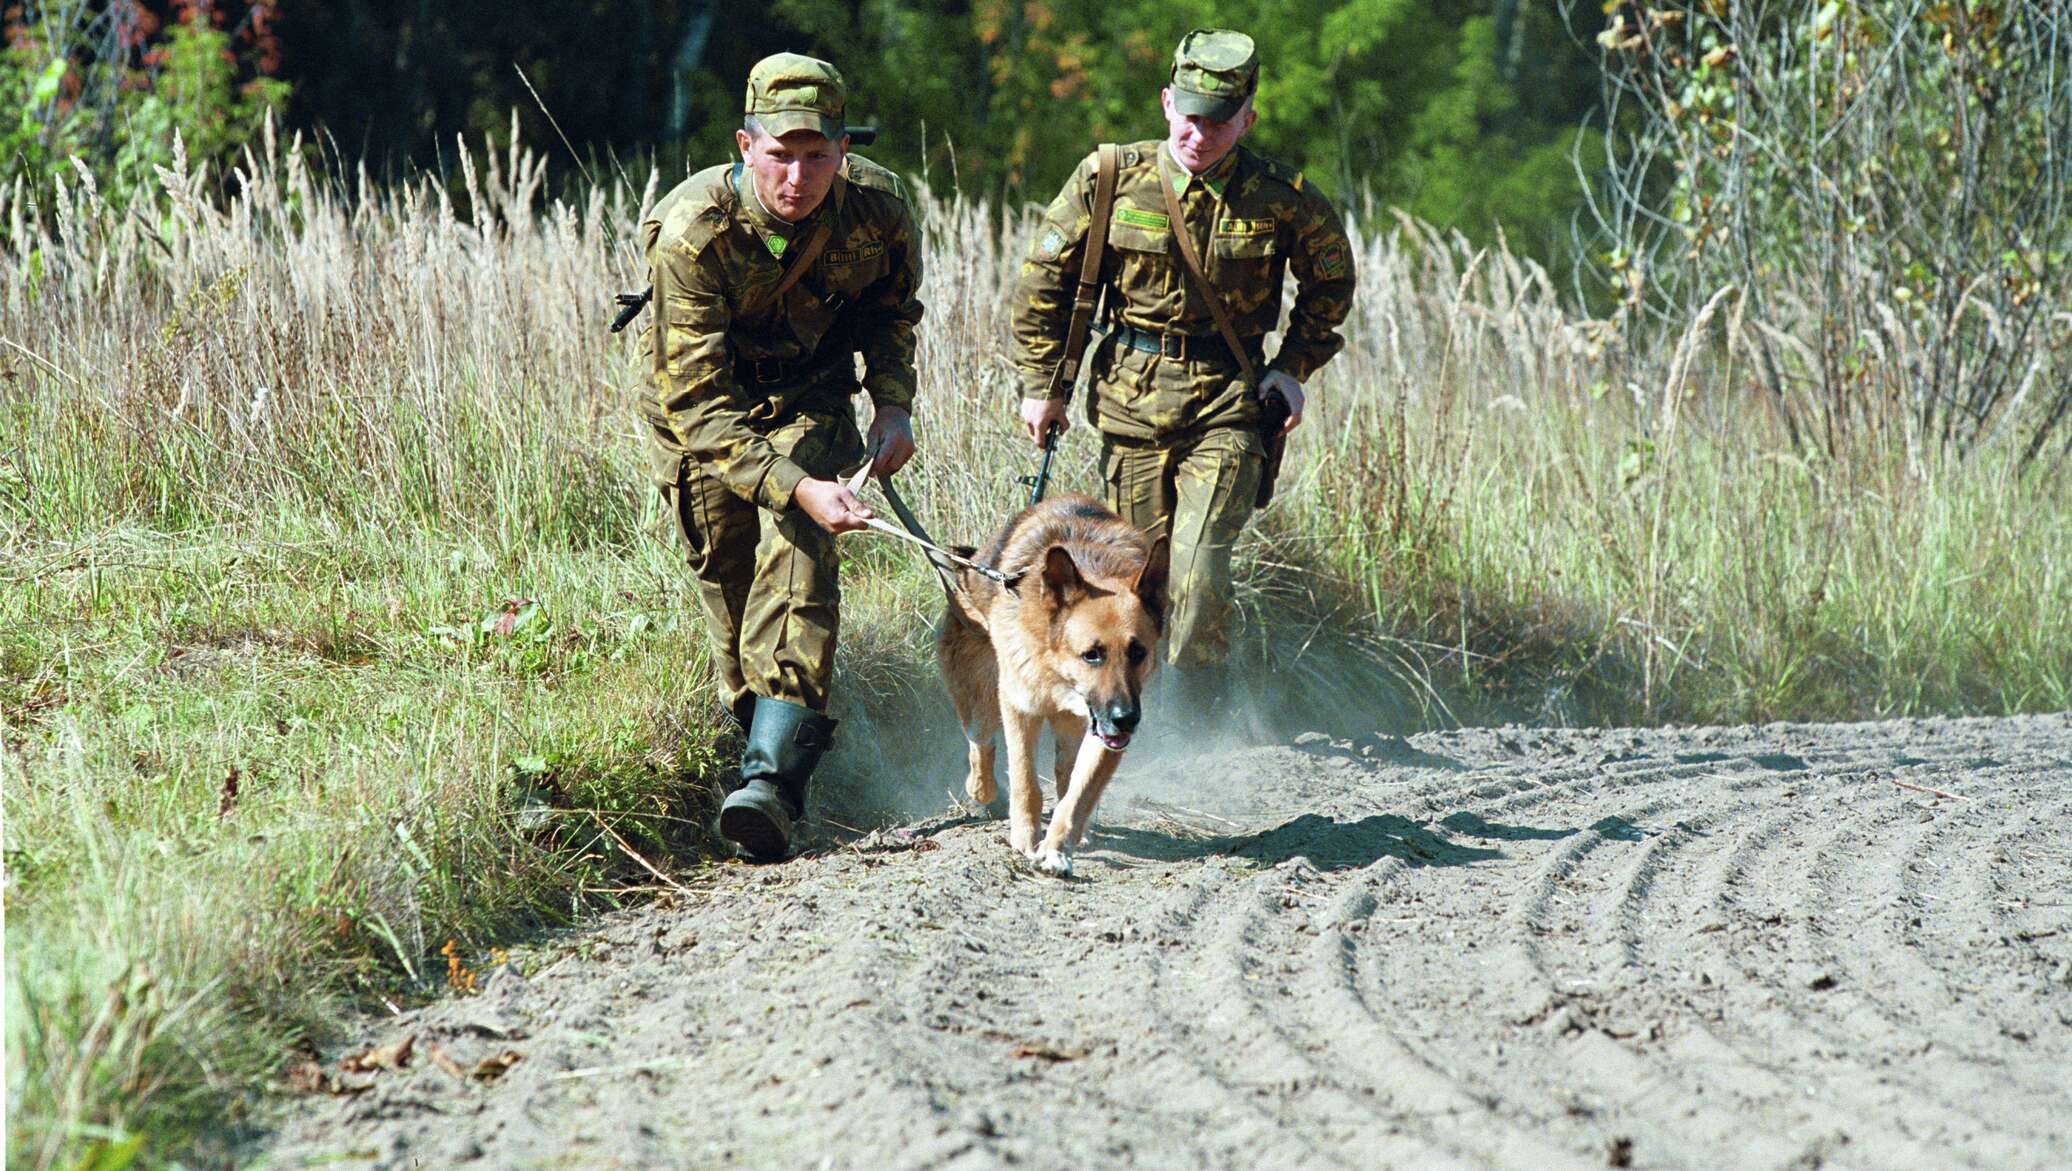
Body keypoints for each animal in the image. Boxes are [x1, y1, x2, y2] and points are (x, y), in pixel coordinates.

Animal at [936, 493, 1168, 878]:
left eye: (1138, 652)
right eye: (1092, 655)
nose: (1126, 719)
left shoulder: (1101, 733)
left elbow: (1078, 794)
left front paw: (1055, 850)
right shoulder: (1020, 708)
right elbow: (1026, 782)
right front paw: (1024, 839)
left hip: (1073, 728)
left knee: (1065, 773)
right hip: (984, 700)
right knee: (981, 742)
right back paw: (982, 790)